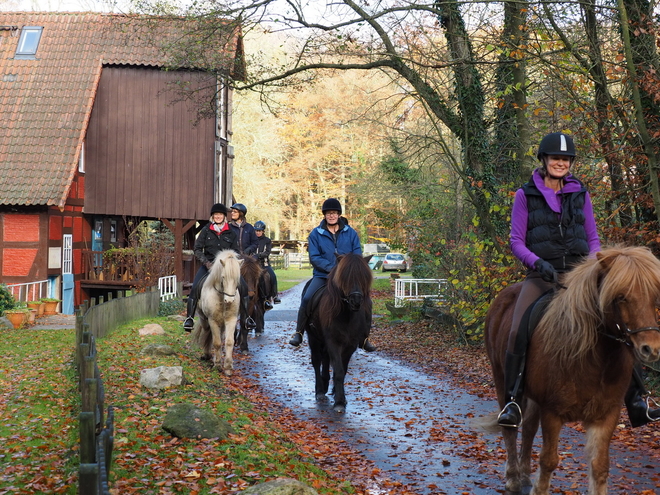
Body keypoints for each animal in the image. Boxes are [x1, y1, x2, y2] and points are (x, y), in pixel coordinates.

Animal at [306, 254, 374, 412]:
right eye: (345, 277)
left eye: (364, 276)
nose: (356, 301)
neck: (346, 315)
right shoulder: (333, 342)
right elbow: (338, 371)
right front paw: (339, 402)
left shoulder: (351, 345)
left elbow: (343, 369)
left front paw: (340, 396)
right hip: (313, 338)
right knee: (316, 361)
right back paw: (320, 391)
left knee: (325, 359)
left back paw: (326, 384)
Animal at [480, 248, 660, 495]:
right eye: (620, 296)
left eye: (653, 295)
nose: (651, 349)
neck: (594, 360)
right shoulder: (552, 412)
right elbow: (548, 461)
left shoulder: (606, 415)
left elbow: (599, 466)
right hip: (501, 379)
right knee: (510, 428)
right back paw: (513, 479)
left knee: (528, 429)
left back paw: (524, 476)